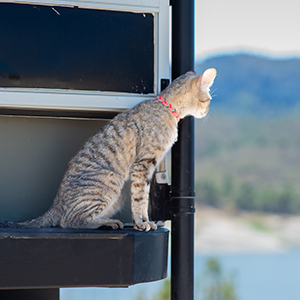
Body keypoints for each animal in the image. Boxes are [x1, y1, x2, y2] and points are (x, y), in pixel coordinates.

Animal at [0, 68, 216, 232]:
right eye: (207, 100)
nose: (207, 110)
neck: (168, 108)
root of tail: (55, 204)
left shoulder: (150, 168)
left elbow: (145, 198)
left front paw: (146, 221)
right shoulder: (143, 164)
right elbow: (139, 198)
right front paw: (140, 224)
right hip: (111, 180)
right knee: (68, 221)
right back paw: (108, 222)